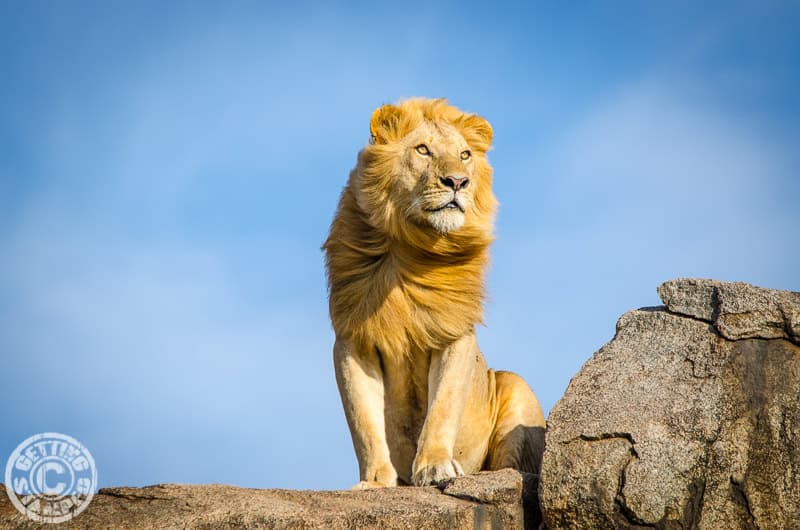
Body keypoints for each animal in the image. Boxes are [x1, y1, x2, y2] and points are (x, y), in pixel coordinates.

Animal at [323, 98, 545, 489]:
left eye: (465, 154)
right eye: (423, 150)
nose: (458, 181)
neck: (415, 245)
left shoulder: (454, 333)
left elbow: (442, 406)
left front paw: (435, 467)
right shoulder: (352, 341)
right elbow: (364, 423)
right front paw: (375, 482)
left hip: (515, 385)